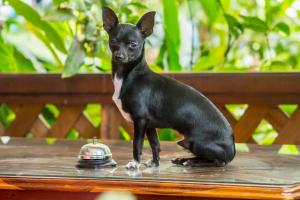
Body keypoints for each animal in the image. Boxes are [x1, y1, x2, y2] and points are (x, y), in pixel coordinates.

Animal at [102, 7, 236, 169]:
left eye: (133, 44)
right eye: (113, 41)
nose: (119, 56)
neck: (128, 75)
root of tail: (232, 150)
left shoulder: (140, 119)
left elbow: (137, 144)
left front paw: (135, 163)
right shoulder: (149, 124)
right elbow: (155, 144)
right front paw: (155, 162)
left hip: (196, 143)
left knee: (219, 162)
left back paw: (191, 162)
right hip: (186, 142)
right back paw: (183, 159)